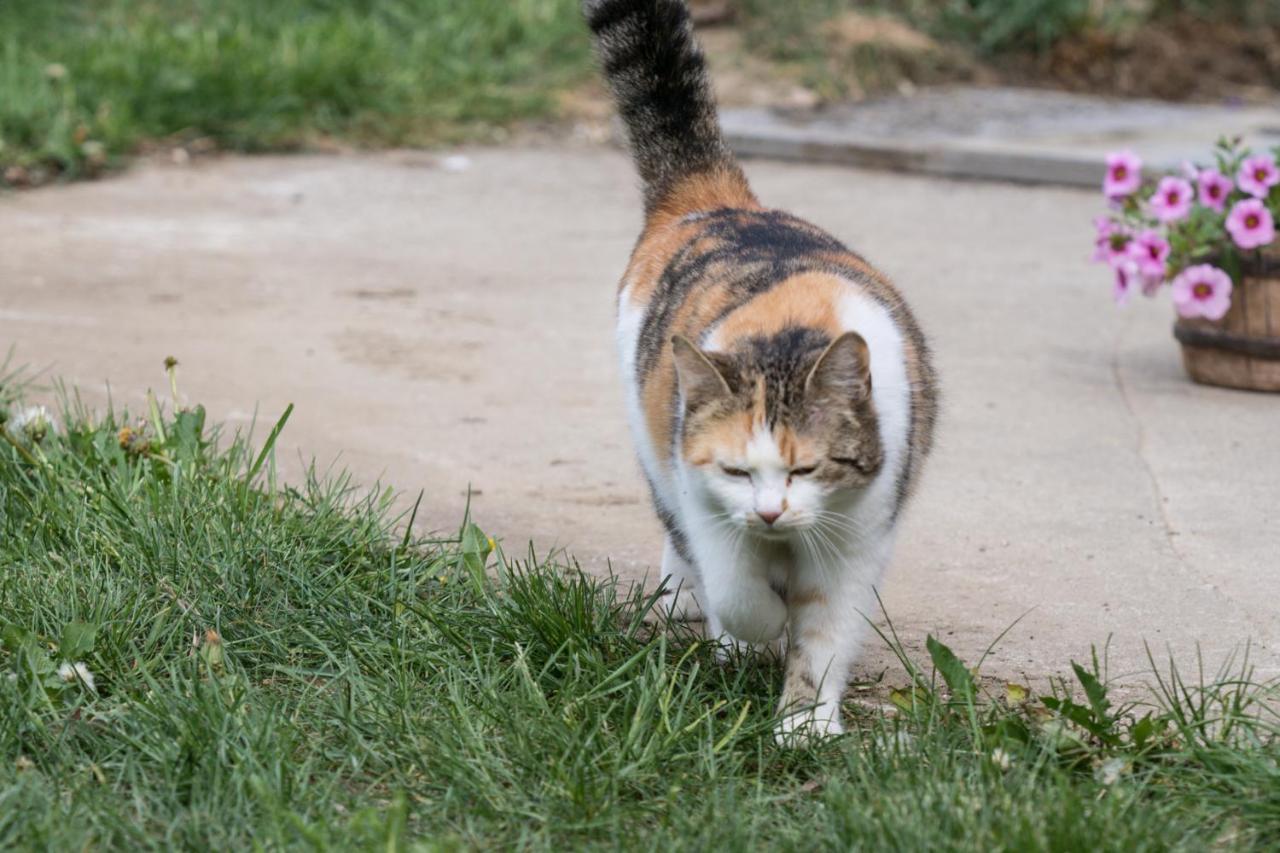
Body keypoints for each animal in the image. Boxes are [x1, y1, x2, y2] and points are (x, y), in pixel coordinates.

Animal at [586, 0, 936, 737]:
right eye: (737, 471)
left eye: (806, 469)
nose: (771, 513)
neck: (791, 327)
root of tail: (720, 199)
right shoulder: (706, 501)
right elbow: (738, 593)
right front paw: (753, 630)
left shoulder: (856, 541)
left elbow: (826, 636)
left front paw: (804, 727)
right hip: (653, 444)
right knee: (680, 539)